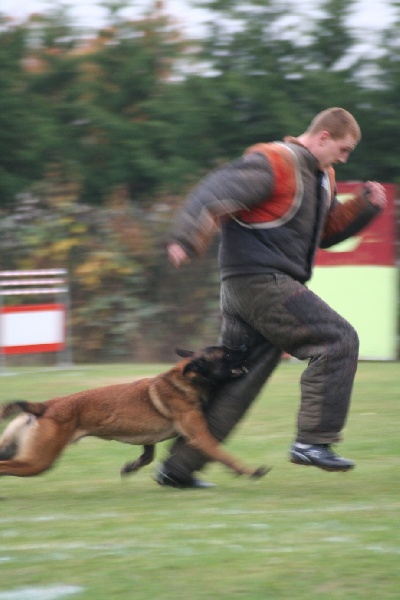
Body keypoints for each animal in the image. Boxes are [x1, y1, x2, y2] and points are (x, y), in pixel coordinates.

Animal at [0, 346, 268, 482]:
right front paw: (249, 471)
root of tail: (44, 405)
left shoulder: (149, 439)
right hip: (38, 461)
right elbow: (224, 455)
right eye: (226, 354)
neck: (186, 380)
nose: (245, 344)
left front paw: (130, 467)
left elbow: (147, 456)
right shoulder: (201, 436)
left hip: (16, 449)